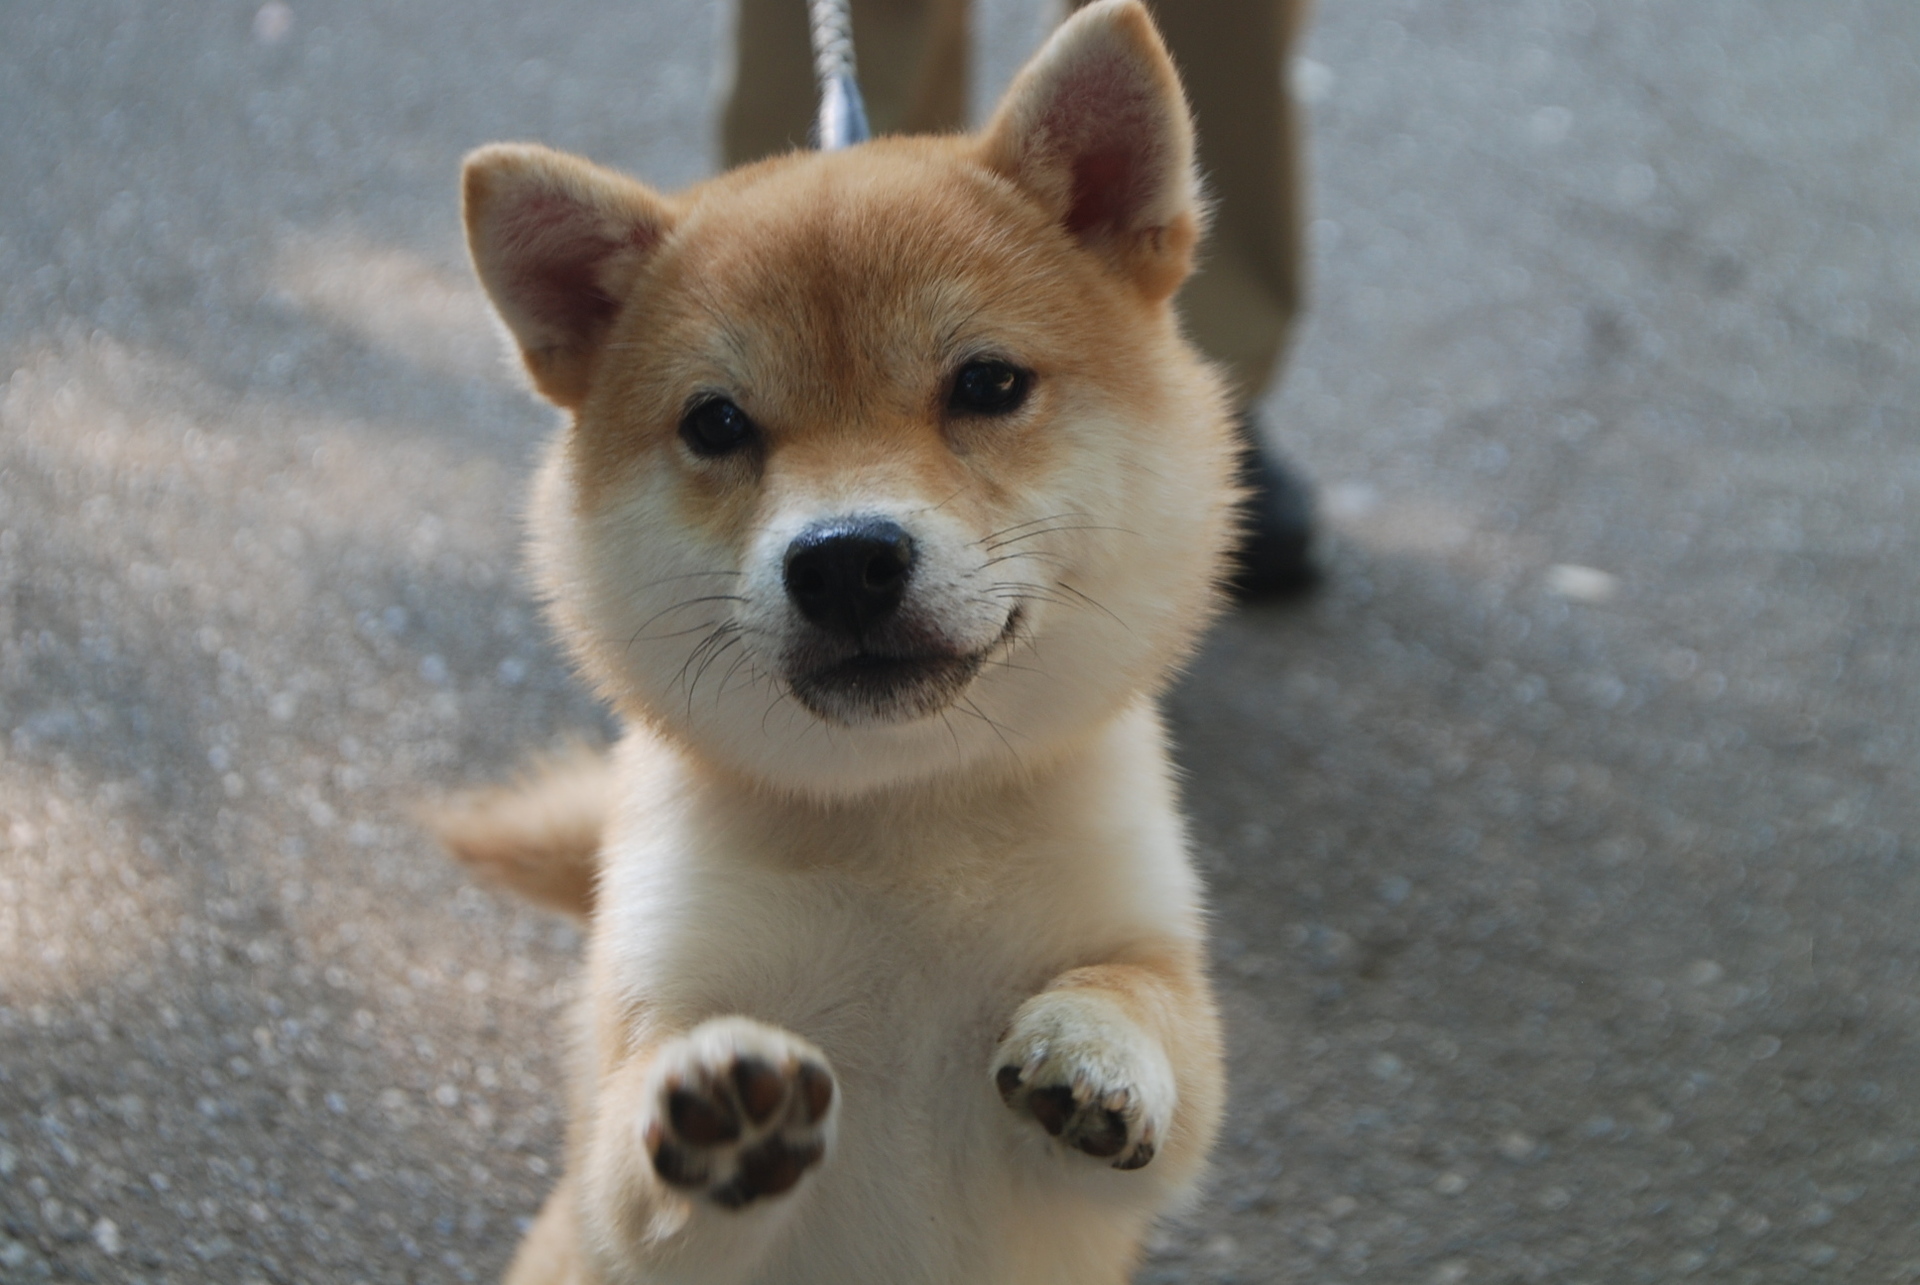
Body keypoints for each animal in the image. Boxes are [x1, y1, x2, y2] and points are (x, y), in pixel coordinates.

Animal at [432, 5, 1244, 1275]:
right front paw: (712, 1109)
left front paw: (1098, 1043)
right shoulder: (655, 1052)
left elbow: (1150, 1000)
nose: (846, 558)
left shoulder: (1137, 1015)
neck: (898, 823)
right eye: (716, 422)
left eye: (987, 383)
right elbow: (636, 1160)